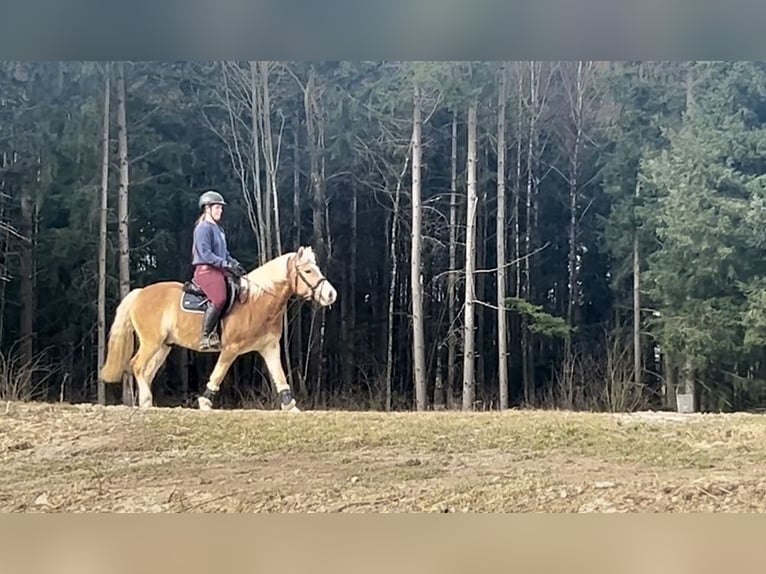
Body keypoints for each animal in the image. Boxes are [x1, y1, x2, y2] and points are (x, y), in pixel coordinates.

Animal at [98, 248, 336, 414]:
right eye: (308, 271)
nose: (331, 294)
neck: (256, 301)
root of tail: (139, 293)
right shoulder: (231, 349)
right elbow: (218, 373)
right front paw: (205, 402)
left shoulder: (269, 348)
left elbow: (279, 376)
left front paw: (290, 406)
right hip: (151, 342)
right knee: (137, 365)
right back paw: (145, 401)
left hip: (164, 346)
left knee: (147, 371)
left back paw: (146, 402)